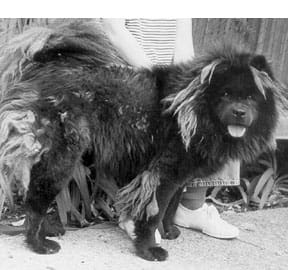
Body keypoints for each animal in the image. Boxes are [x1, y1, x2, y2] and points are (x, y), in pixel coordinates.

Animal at [0, 21, 286, 262]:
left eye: (250, 97)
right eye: (225, 94)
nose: (239, 112)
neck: (192, 107)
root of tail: (44, 65)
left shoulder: (179, 175)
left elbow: (170, 208)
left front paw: (169, 232)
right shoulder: (162, 174)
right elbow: (153, 213)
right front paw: (150, 249)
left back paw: (47, 230)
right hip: (63, 158)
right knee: (36, 200)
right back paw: (38, 242)